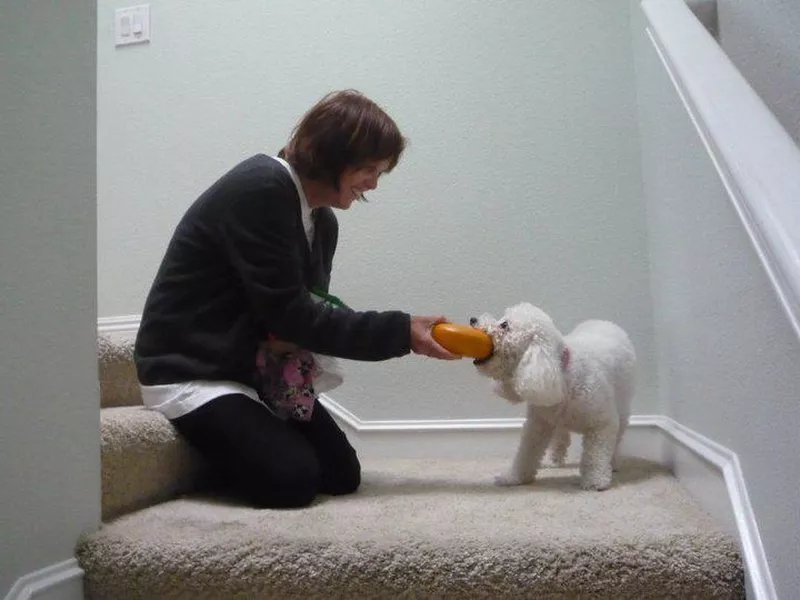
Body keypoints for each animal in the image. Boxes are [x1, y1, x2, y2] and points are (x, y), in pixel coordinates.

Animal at [472, 302, 636, 490]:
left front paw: (595, 481)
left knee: (617, 438)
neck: (561, 372)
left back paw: (613, 463)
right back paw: (554, 460)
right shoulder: (538, 424)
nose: (472, 320)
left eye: (505, 325)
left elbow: (596, 455)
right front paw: (514, 477)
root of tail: (606, 322)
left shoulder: (602, 423)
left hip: (622, 406)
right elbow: (526, 453)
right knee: (561, 436)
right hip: (555, 418)